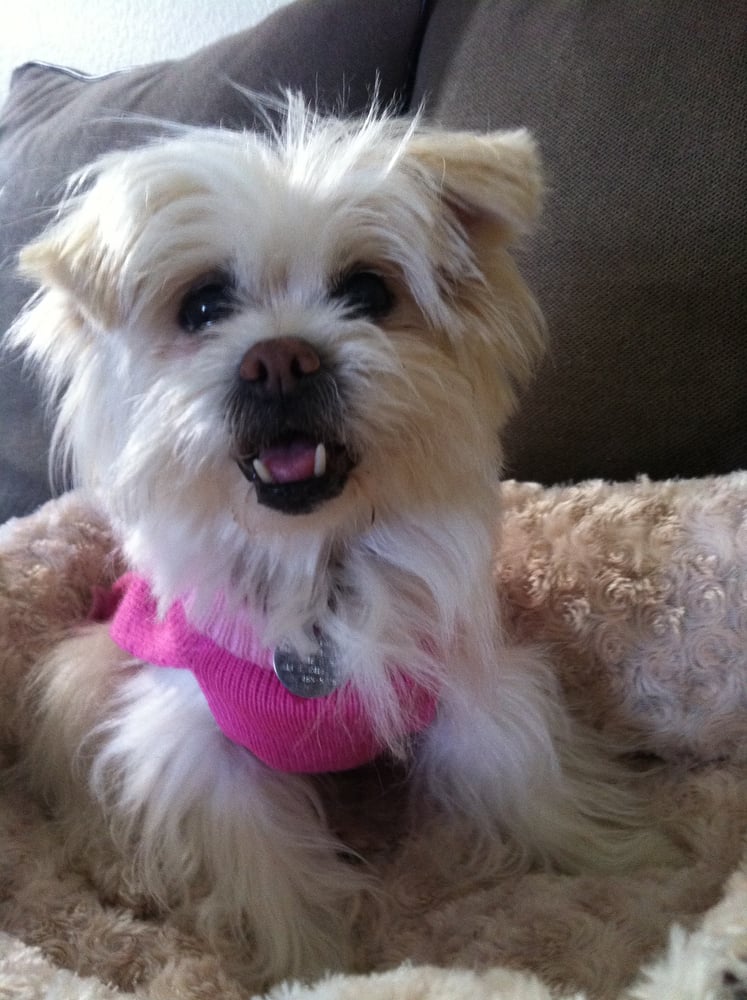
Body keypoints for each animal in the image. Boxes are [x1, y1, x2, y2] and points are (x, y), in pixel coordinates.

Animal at [9, 99, 672, 985]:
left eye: (367, 290)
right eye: (202, 308)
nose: (279, 359)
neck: (315, 572)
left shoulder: (468, 683)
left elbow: (533, 785)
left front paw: (631, 859)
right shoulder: (206, 756)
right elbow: (271, 881)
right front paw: (310, 967)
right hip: (78, 670)